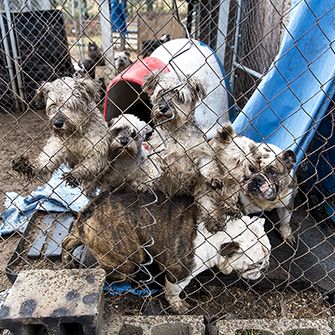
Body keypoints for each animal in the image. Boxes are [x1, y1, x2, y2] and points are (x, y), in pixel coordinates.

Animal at [63, 192, 272, 316]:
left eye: (268, 256)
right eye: (257, 263)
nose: (266, 267)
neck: (222, 234)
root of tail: (95, 206)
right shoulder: (180, 274)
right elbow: (173, 291)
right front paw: (177, 305)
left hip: (83, 229)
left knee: (68, 241)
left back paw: (68, 262)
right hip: (127, 257)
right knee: (108, 270)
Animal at [136, 71, 228, 234]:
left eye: (178, 95)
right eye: (161, 92)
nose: (163, 108)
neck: (176, 131)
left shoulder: (201, 153)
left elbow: (208, 166)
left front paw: (214, 177)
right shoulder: (157, 153)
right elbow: (152, 168)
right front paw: (145, 181)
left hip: (201, 188)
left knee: (206, 202)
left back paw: (213, 220)